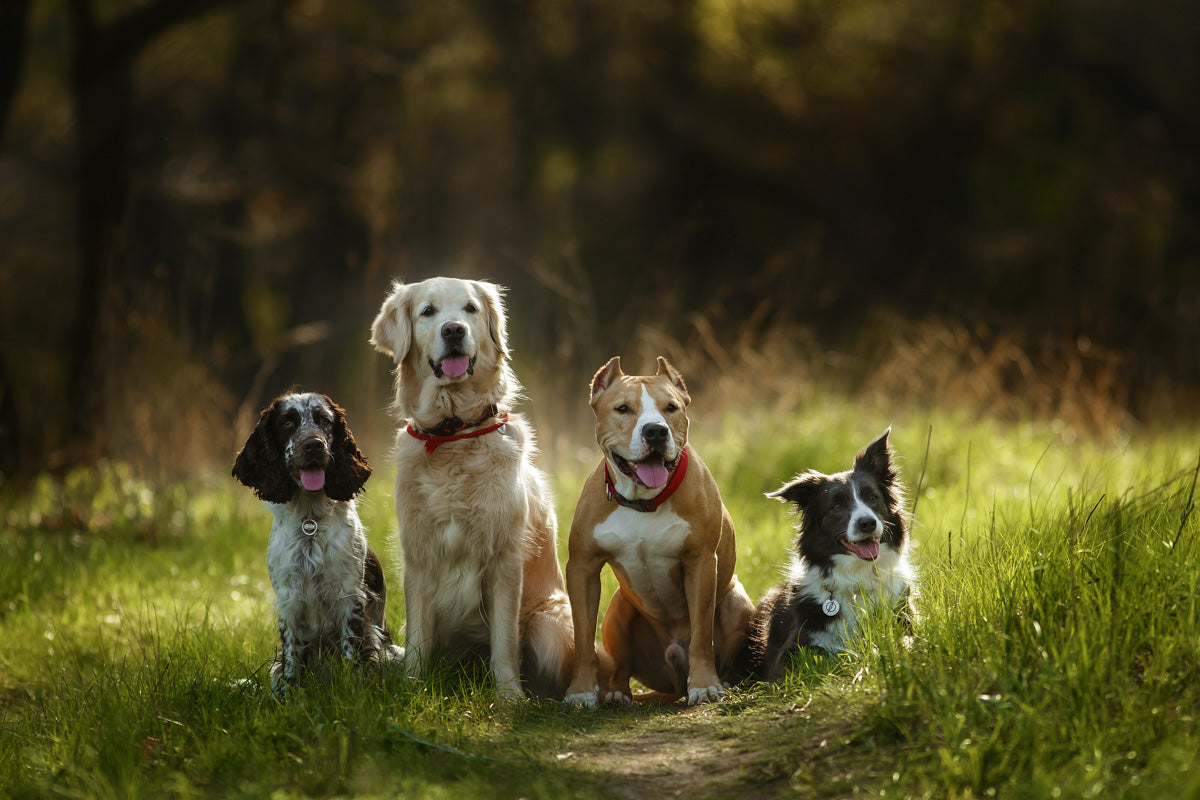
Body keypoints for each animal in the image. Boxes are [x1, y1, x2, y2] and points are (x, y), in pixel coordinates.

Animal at [561, 357, 748, 705]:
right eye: (623, 408)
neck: (643, 503)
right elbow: (582, 639)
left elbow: (701, 635)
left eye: (670, 407)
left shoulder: (701, 563)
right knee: (620, 664)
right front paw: (580, 691)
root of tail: (674, 684)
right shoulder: (582, 568)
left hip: (736, 602)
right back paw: (618, 694)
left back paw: (725, 682)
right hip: (618, 608)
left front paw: (705, 684)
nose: (656, 431)